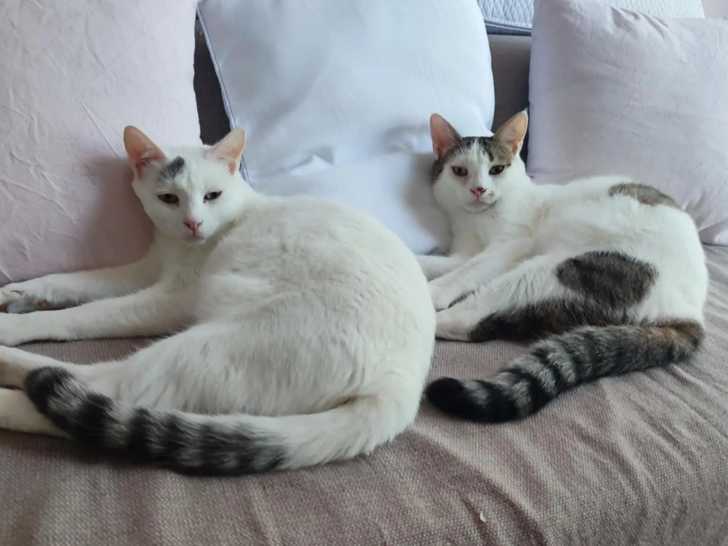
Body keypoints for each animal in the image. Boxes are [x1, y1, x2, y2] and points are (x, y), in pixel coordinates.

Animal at [0, 126, 435, 475]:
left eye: (212, 195)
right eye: (168, 198)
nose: (193, 223)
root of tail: (404, 386)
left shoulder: (171, 297)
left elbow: (88, 313)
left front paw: (19, 320)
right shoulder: (146, 269)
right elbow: (76, 281)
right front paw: (22, 293)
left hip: (206, 347)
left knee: (102, 387)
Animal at [419, 111, 707, 423]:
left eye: (497, 169)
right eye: (459, 171)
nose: (479, 189)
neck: (476, 220)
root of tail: (691, 311)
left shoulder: (511, 243)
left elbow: (466, 272)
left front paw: (432, 290)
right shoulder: (463, 252)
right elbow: (443, 264)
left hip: (554, 271)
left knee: (466, 320)